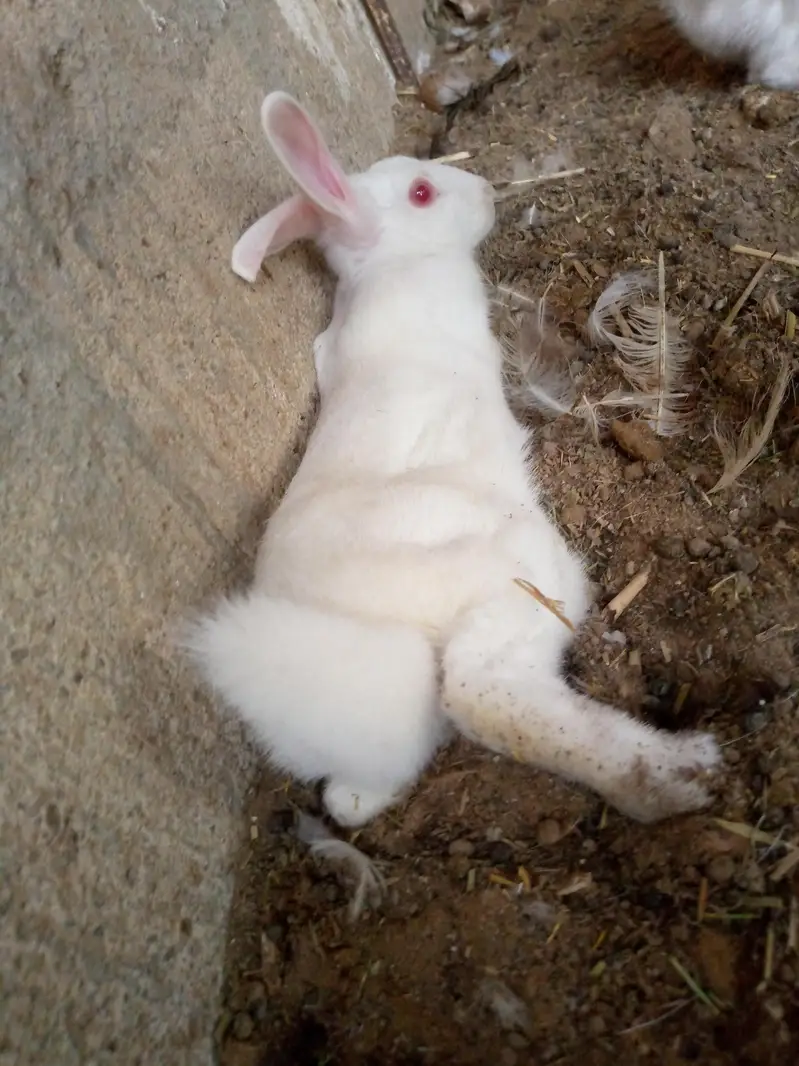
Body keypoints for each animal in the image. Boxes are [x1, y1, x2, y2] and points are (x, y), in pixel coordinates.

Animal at [185, 91, 721, 829]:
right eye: (421, 192)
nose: (487, 191)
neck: (393, 264)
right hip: (519, 579)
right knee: (486, 695)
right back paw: (678, 773)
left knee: (355, 797)